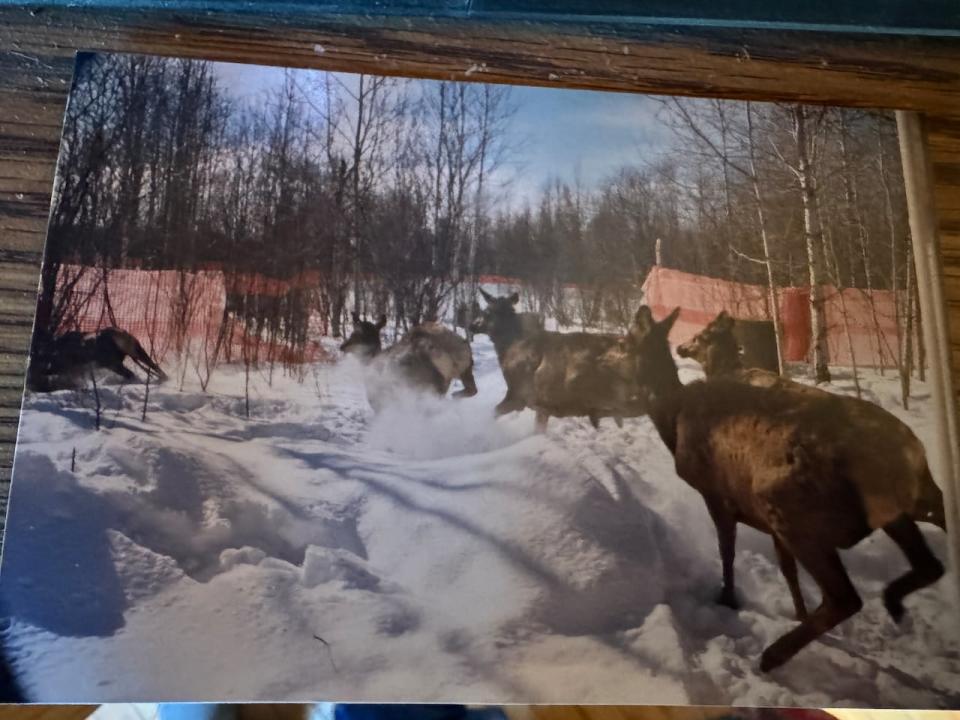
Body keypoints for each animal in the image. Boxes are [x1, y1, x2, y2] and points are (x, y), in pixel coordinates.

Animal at [26, 328, 167, 394]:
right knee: (153, 365)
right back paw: (164, 378)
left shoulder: (63, 365)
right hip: (135, 351)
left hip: (114, 363)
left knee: (132, 374)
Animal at [340, 314, 478, 414]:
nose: (342, 346)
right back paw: (456, 397)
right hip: (465, 368)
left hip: (426, 383)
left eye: (354, 334)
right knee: (472, 389)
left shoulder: (379, 400)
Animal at [470, 288, 644, 434]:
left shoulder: (519, 394)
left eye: (486, 311)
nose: (472, 325)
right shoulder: (542, 405)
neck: (507, 348)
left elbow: (493, 413)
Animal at [628, 306, 948, 672]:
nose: (681, 346)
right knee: (929, 560)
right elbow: (787, 569)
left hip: (794, 512)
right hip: (899, 505)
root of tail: (911, 449)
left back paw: (772, 656)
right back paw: (892, 599)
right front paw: (798, 612)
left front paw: (728, 599)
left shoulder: (717, 494)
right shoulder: (763, 521)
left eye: (700, 335)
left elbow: (727, 551)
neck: (673, 419)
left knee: (845, 597)